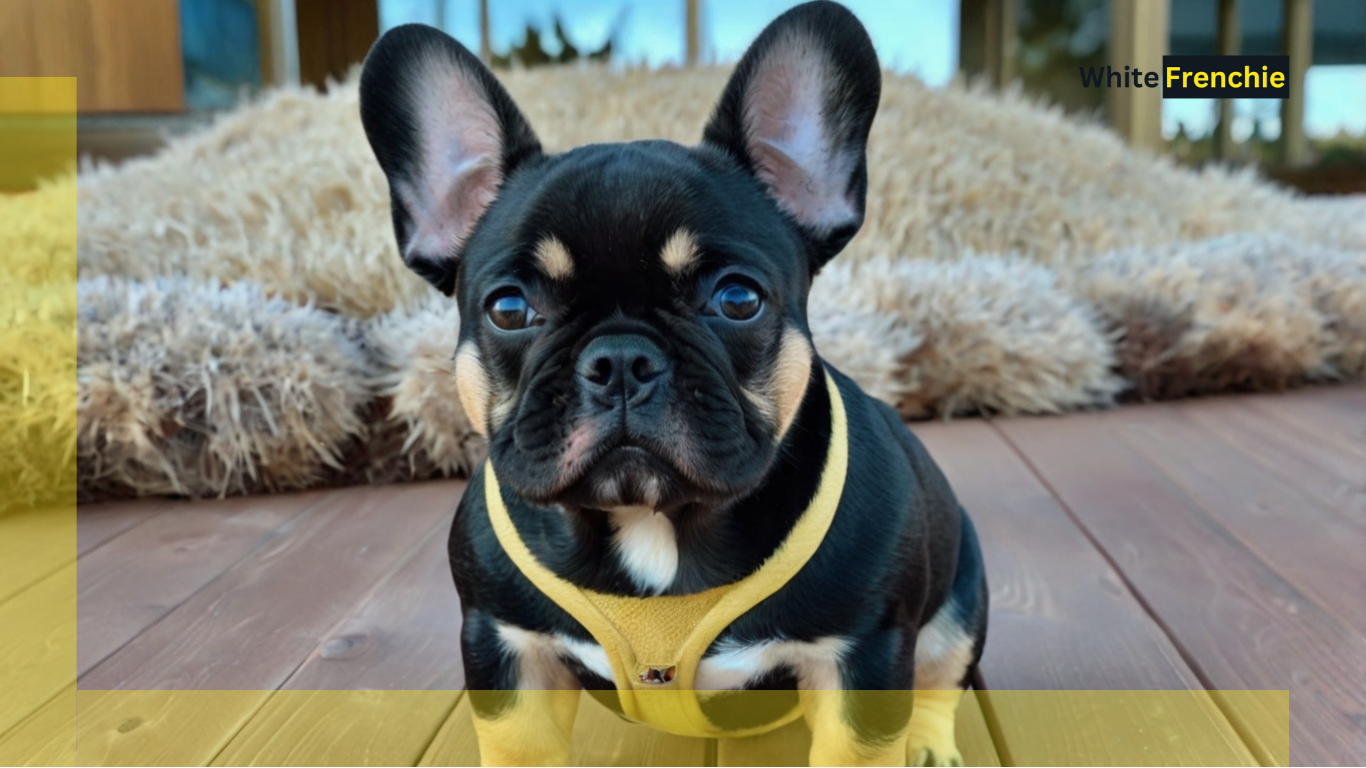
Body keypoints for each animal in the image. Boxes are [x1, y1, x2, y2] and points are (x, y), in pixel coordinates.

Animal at [357, 2, 988, 759]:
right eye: (509, 308)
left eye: (737, 299)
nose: (621, 360)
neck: (652, 521)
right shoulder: (505, 648)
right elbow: (521, 745)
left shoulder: (864, 657)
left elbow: (859, 742)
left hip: (960, 599)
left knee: (941, 673)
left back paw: (927, 742)